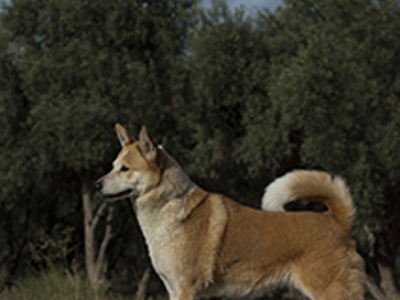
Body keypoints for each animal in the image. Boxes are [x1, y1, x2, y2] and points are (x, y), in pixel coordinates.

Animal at [94, 125, 366, 300]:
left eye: (125, 169)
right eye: (113, 166)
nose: (96, 184)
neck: (169, 209)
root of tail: (336, 220)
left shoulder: (186, 288)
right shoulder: (172, 289)